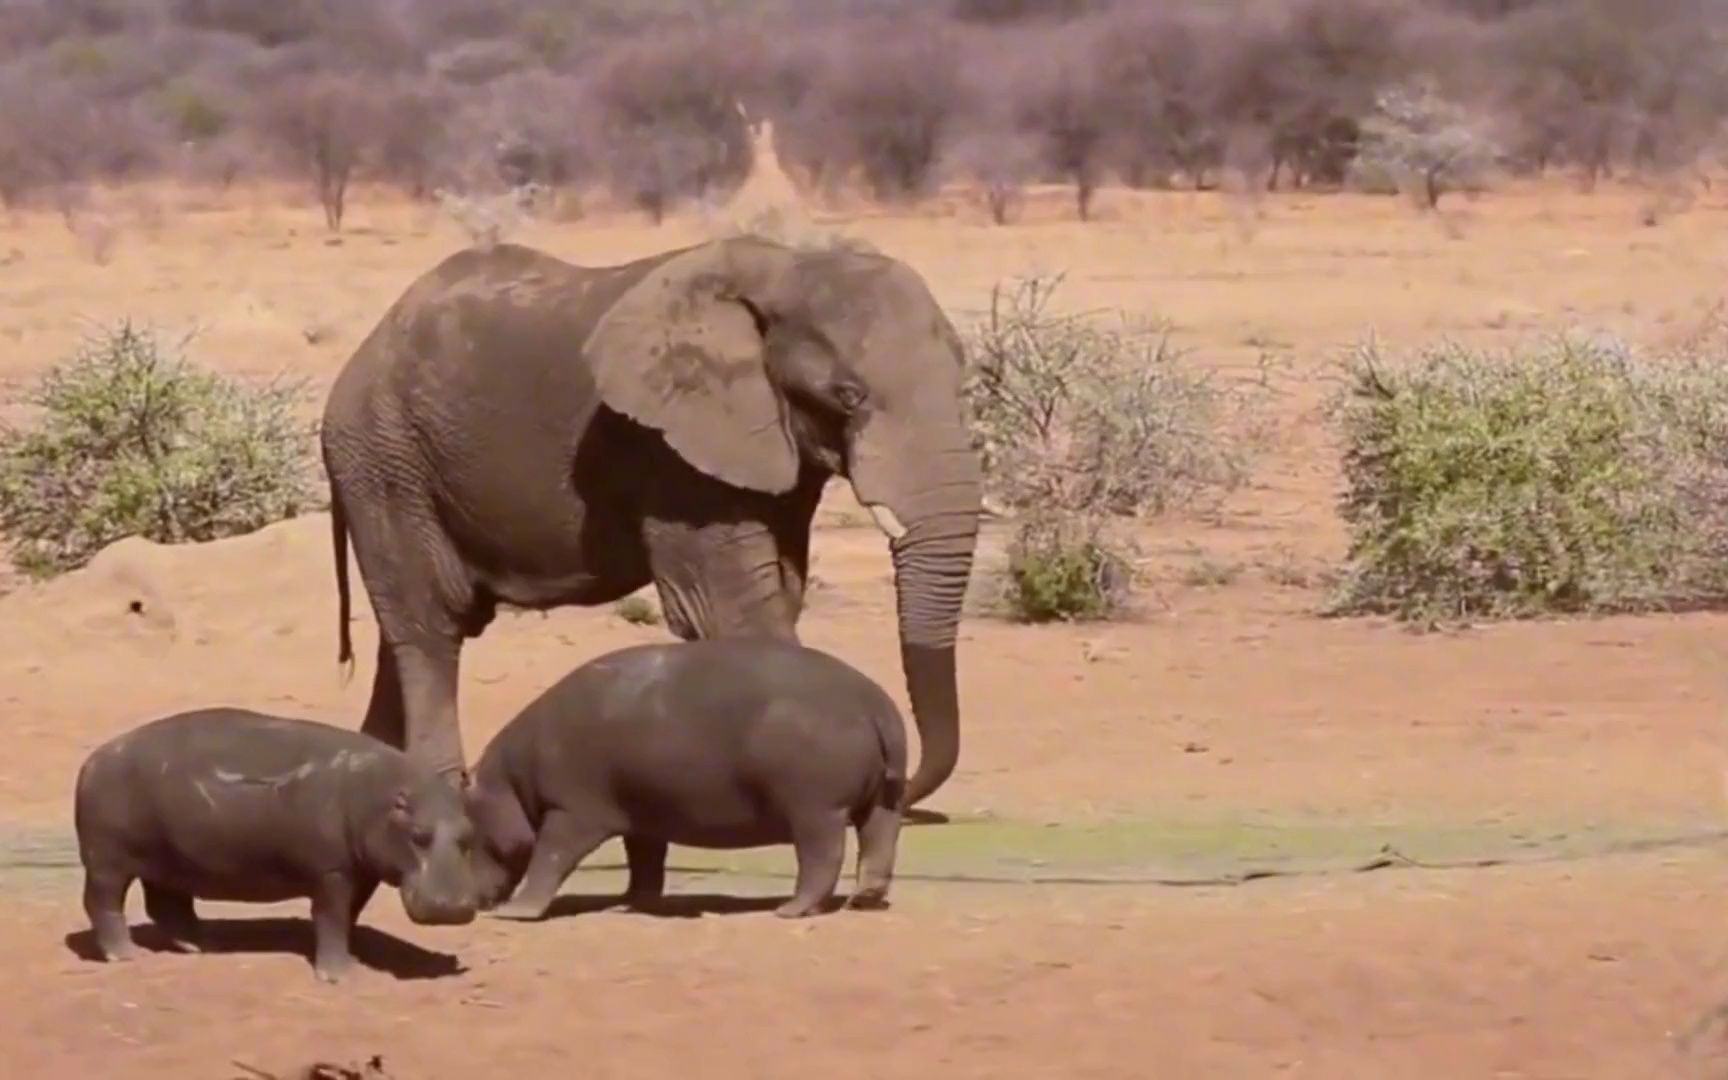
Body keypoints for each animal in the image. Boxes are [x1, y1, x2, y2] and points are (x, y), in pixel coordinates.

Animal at [317, 235, 981, 808]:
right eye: (848, 395)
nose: (901, 785)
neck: (787, 265)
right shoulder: (668, 451)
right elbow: (730, 611)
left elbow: (780, 595)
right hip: (386, 460)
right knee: (430, 625)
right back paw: (439, 790)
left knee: (402, 637)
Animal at [466, 639, 912, 919]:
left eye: (466, 833)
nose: (467, 903)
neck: (509, 781)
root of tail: (875, 701)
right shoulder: (641, 815)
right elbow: (645, 862)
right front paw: (628, 903)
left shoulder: (571, 812)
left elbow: (549, 857)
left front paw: (515, 914)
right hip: (878, 801)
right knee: (878, 843)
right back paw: (863, 900)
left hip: (815, 808)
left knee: (822, 856)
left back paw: (789, 911)